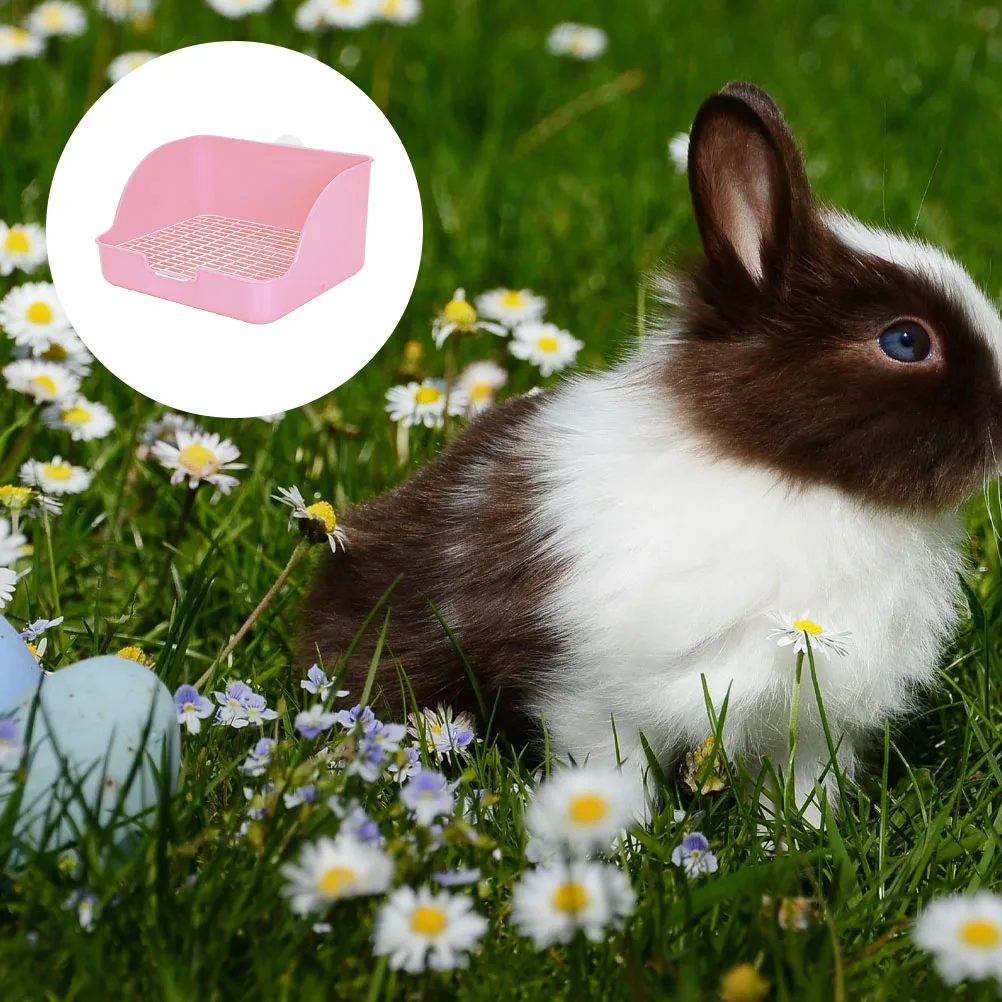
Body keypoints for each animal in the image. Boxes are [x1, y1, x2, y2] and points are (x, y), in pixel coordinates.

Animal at [298, 81, 1002, 825]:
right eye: (906, 340)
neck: (791, 477)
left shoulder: (812, 725)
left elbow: (799, 793)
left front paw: (790, 841)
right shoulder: (596, 700)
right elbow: (610, 779)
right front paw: (621, 842)